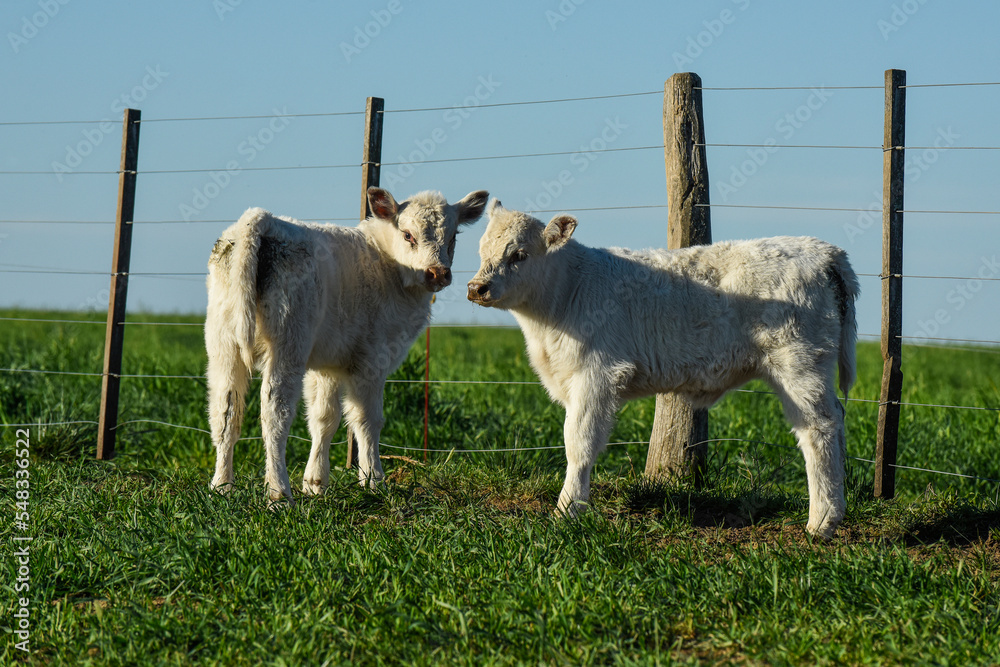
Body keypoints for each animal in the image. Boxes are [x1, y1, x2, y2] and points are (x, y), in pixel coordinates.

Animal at [206, 187, 488, 504]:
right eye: (407, 235)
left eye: (453, 237)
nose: (438, 273)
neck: (389, 266)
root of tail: (261, 220)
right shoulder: (372, 360)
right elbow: (367, 420)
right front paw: (374, 481)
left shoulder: (328, 363)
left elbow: (324, 418)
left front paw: (316, 483)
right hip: (288, 342)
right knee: (274, 413)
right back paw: (279, 494)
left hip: (223, 343)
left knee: (225, 412)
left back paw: (221, 486)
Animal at [467, 200, 859, 539]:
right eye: (481, 250)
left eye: (519, 254)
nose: (476, 287)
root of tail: (824, 250)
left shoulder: (596, 375)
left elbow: (579, 442)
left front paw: (568, 510)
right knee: (837, 421)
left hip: (800, 365)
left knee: (819, 428)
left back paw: (822, 521)